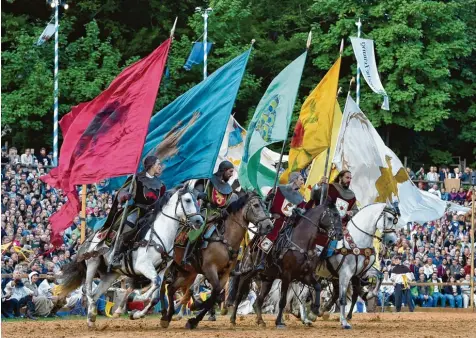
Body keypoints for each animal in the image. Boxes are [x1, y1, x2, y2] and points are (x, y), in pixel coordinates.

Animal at [59, 185, 203, 328]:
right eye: (188, 200)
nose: (199, 221)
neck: (161, 234)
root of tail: (92, 236)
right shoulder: (143, 266)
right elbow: (154, 283)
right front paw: (136, 298)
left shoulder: (162, 270)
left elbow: (156, 295)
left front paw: (137, 314)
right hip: (92, 263)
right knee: (87, 290)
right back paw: (93, 314)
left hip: (110, 274)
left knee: (95, 294)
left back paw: (91, 319)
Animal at [160, 191, 274, 328]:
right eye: (256, 205)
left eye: (265, 206)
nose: (268, 225)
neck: (225, 239)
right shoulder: (210, 269)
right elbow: (214, 293)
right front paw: (195, 309)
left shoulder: (224, 274)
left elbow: (215, 294)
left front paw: (194, 318)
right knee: (162, 287)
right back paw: (164, 313)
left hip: (187, 272)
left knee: (171, 289)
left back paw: (168, 317)